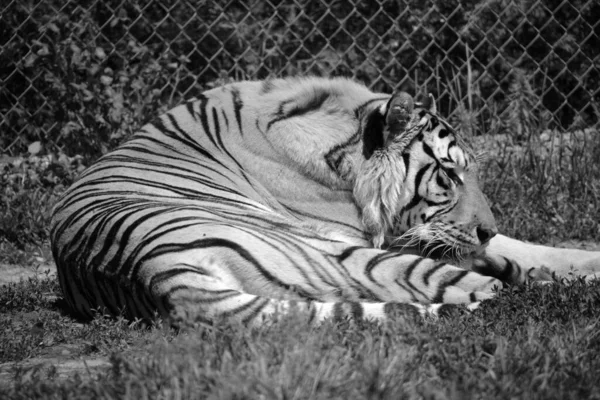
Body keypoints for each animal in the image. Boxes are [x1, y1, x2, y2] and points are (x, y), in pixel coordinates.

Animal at [49, 76, 600, 326]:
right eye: (448, 174)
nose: (486, 228)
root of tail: (155, 274)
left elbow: (525, 246)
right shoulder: (389, 235)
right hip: (333, 251)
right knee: (480, 290)